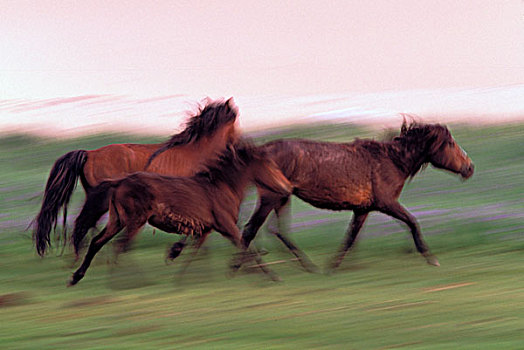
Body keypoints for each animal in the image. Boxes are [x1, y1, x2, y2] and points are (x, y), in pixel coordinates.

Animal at [31, 97, 238, 256]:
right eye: (234, 123)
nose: (234, 148)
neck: (195, 152)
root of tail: (89, 153)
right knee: (87, 223)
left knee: (88, 223)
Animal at [66, 138, 290, 286]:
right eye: (269, 164)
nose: (286, 187)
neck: (222, 187)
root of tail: (119, 182)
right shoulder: (227, 226)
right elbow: (247, 247)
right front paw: (270, 275)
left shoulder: (206, 229)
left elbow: (193, 252)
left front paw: (180, 277)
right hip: (135, 221)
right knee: (120, 245)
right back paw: (127, 281)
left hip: (117, 220)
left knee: (98, 243)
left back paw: (77, 277)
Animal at [239, 120, 476, 270]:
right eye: (450, 143)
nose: (469, 168)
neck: (393, 162)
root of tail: (261, 151)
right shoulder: (387, 203)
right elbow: (413, 222)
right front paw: (431, 258)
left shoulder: (363, 209)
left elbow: (351, 237)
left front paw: (333, 266)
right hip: (271, 197)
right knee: (251, 229)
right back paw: (246, 269)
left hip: (282, 198)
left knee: (276, 230)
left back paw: (308, 266)